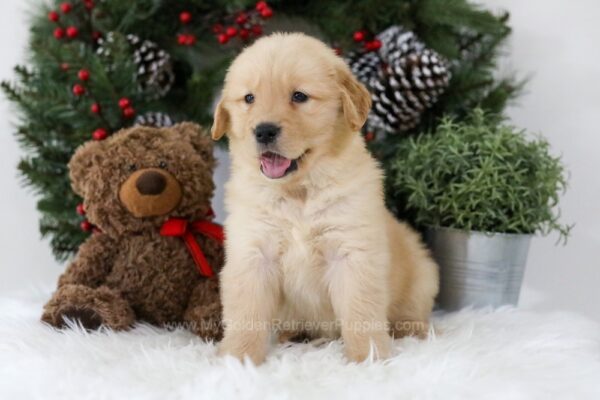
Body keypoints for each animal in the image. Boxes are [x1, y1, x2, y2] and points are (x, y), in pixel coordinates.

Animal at [213, 32, 438, 364]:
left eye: (299, 96)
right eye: (249, 99)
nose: (264, 131)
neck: (299, 192)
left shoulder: (352, 254)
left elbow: (360, 312)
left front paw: (367, 358)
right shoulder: (253, 253)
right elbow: (246, 313)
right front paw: (237, 359)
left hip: (422, 273)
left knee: (411, 312)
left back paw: (413, 331)